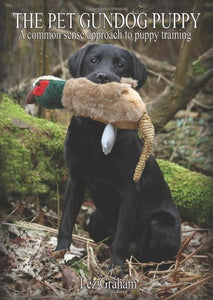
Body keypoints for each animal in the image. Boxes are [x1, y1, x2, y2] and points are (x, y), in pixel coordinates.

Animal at [55, 43, 181, 266]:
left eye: (121, 64)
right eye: (93, 60)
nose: (103, 76)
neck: (95, 131)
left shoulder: (130, 189)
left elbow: (122, 233)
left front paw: (115, 266)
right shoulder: (76, 178)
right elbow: (67, 219)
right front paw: (61, 251)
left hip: (160, 224)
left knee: (154, 256)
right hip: (95, 219)